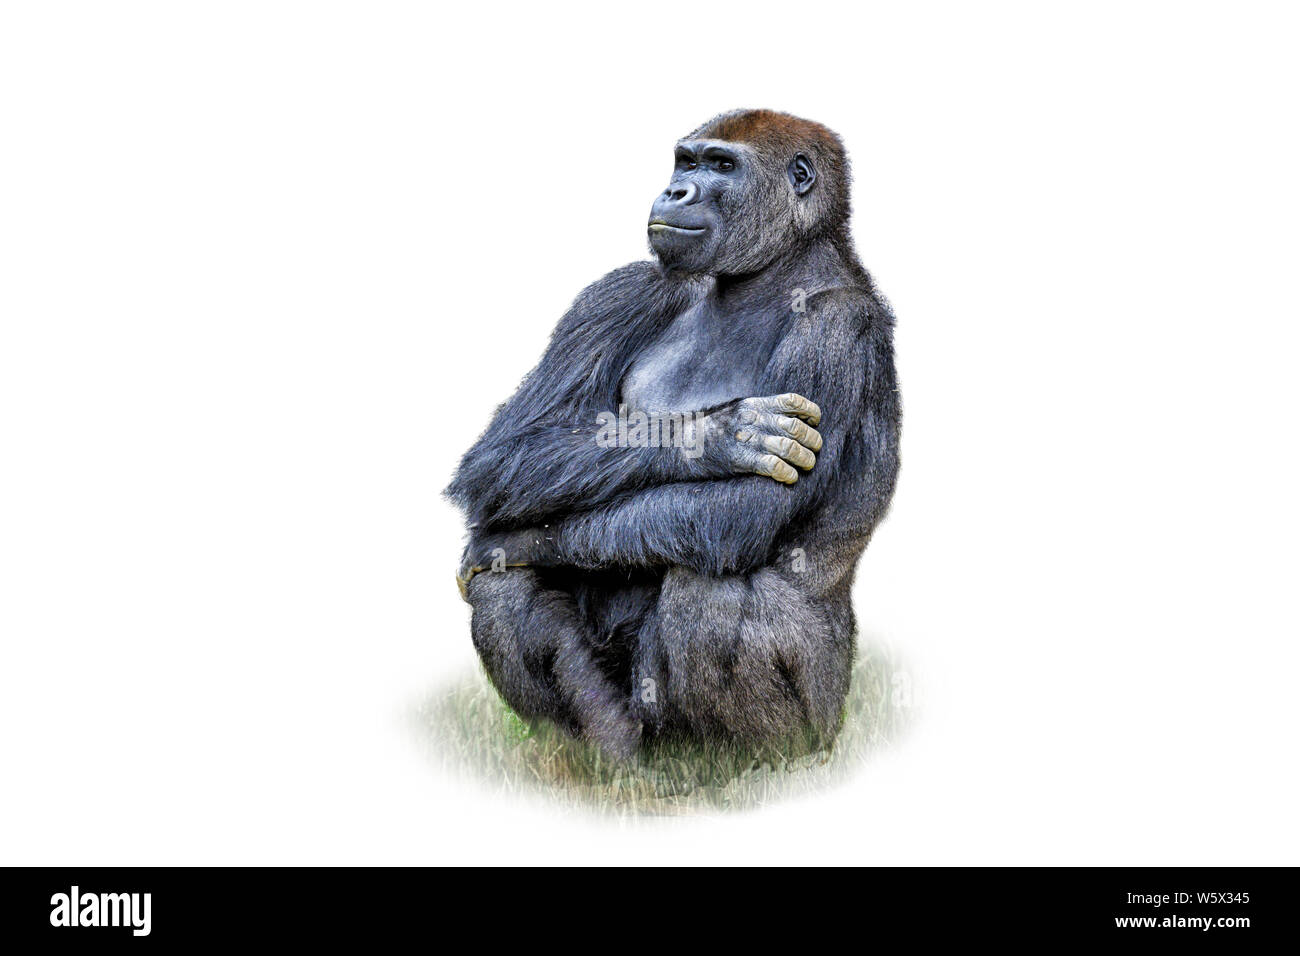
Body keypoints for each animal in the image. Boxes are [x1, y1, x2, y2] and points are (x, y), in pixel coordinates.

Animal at [447, 110, 900, 760]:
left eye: (722, 166)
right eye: (686, 162)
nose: (675, 191)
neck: (773, 273)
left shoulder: (836, 328)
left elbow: (741, 508)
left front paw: (513, 539)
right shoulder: (627, 287)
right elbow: (508, 450)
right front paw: (717, 436)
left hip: (823, 724)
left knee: (708, 585)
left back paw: (738, 766)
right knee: (508, 588)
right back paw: (606, 760)